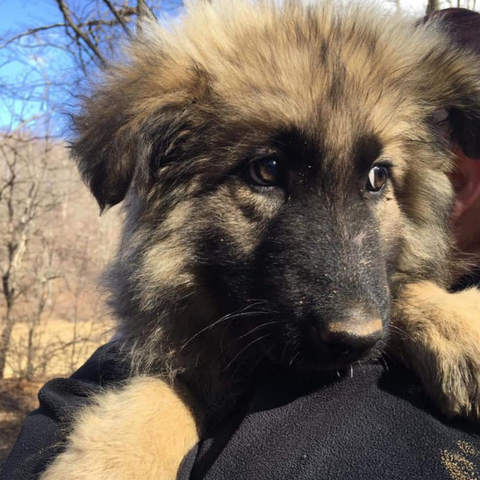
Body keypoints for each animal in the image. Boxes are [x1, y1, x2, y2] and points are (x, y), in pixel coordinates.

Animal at [40, 1, 480, 478]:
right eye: (266, 171)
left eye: (377, 177)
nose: (355, 339)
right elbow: (163, 394)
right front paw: (117, 458)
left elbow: (401, 290)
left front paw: (459, 326)